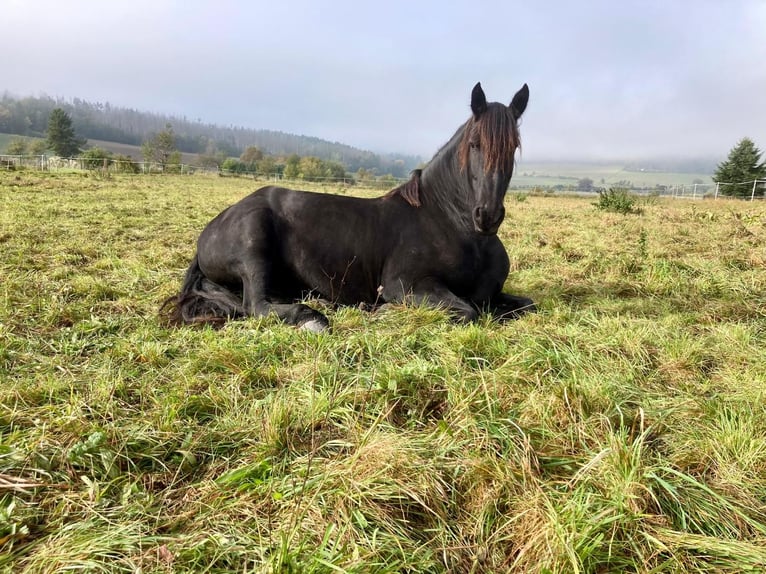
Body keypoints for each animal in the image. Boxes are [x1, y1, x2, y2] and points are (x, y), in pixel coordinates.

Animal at [161, 82, 534, 331]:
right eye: (475, 144)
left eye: (514, 146)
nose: (487, 216)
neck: (451, 225)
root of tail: (212, 227)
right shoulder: (406, 285)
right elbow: (468, 311)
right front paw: (385, 311)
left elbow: (523, 304)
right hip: (254, 244)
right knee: (256, 304)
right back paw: (313, 318)